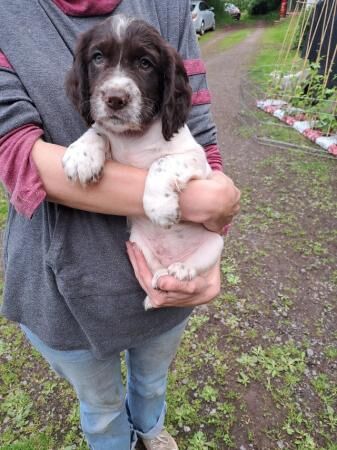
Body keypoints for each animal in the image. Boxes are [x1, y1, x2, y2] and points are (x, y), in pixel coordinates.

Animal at [62, 14, 223, 310]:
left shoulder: (197, 158)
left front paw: (160, 206)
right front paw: (81, 155)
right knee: (158, 270)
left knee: (194, 266)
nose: (115, 99)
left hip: (214, 243)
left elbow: (163, 162)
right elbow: (99, 130)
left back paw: (181, 270)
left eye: (145, 63)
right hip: (138, 243)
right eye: (98, 58)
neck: (133, 137)